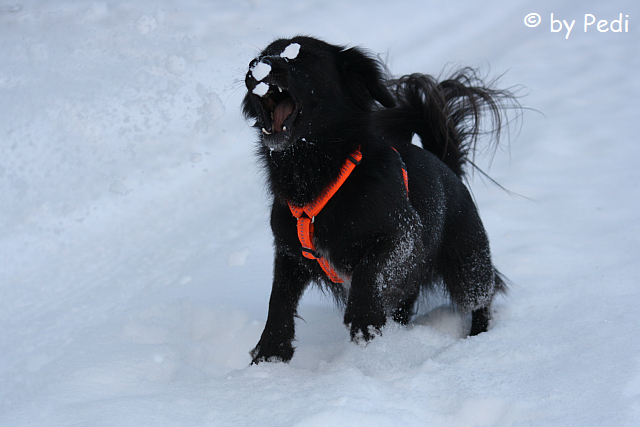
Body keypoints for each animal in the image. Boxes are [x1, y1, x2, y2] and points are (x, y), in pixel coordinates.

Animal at [241, 36, 516, 364]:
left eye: (302, 56)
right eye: (262, 54)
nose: (257, 66)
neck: (315, 176)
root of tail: (446, 166)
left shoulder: (403, 234)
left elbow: (369, 268)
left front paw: (363, 319)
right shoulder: (289, 253)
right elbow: (279, 297)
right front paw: (271, 350)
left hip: (468, 262)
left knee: (481, 299)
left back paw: (477, 338)